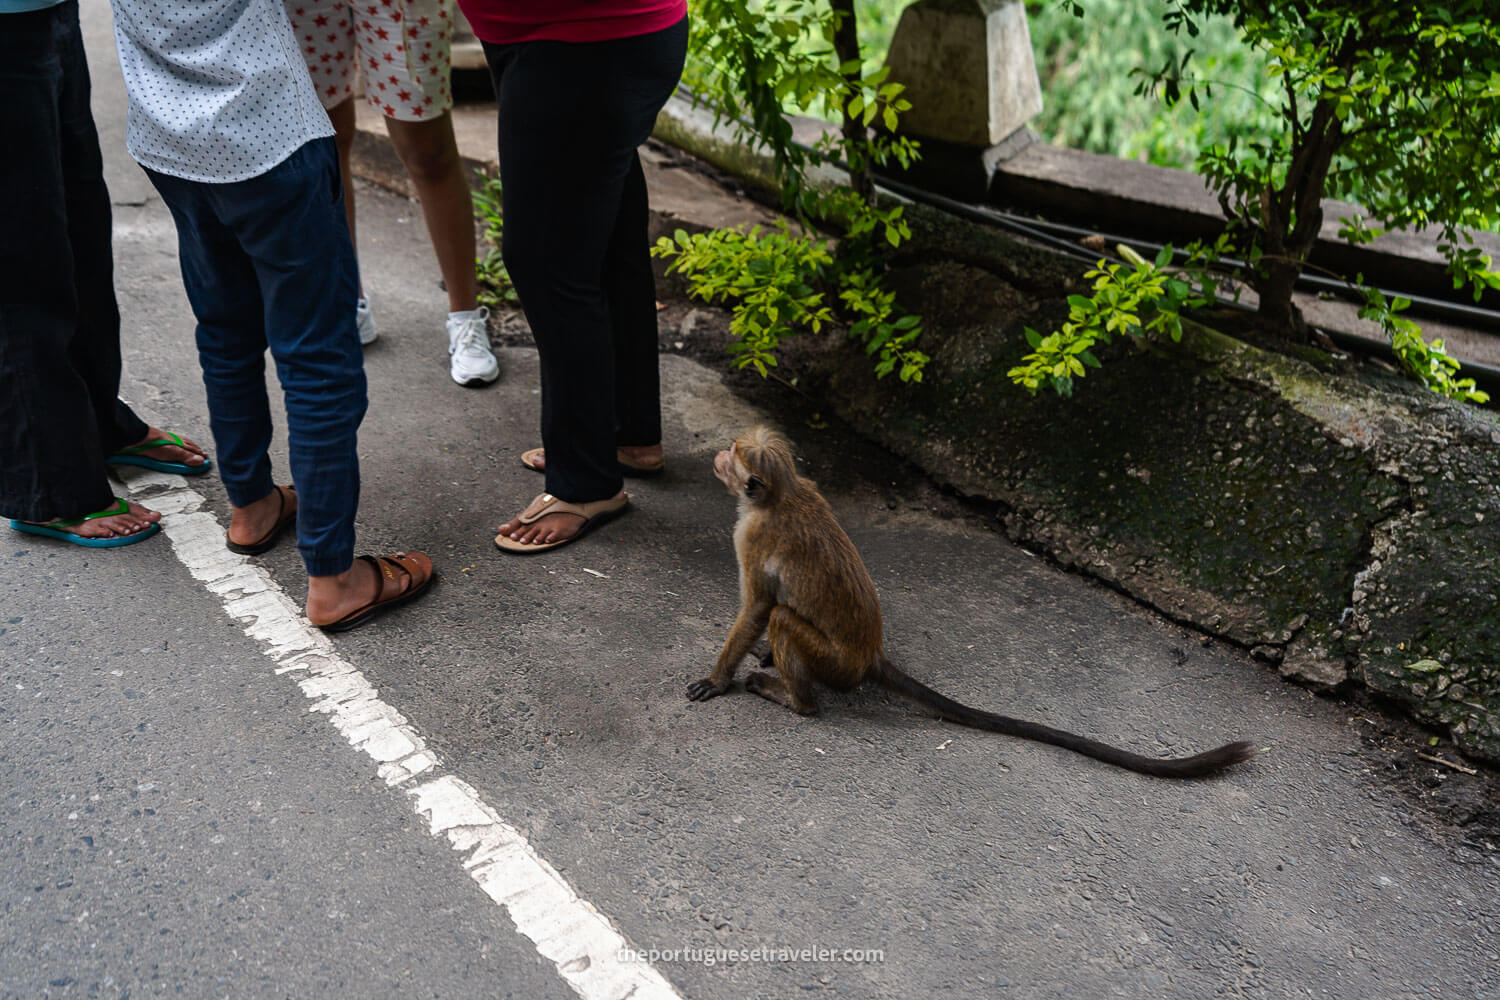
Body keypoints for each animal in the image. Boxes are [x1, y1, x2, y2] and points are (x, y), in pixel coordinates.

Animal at [687, 425, 1254, 779]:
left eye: (733, 453)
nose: (718, 455)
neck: (780, 494)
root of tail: (870, 656)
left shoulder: (751, 536)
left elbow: (759, 607)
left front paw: (719, 678)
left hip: (834, 664)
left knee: (785, 618)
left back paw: (796, 699)